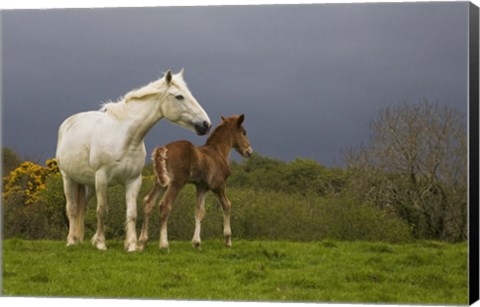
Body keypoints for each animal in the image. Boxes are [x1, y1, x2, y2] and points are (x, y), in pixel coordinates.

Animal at [56, 70, 210, 253]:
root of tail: (68, 123)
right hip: (68, 178)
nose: (206, 124)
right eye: (179, 96)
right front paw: (101, 243)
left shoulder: (133, 180)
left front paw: (131, 245)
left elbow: (132, 213)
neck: (124, 138)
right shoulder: (101, 178)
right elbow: (102, 210)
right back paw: (72, 240)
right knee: (72, 208)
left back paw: (80, 239)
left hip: (88, 184)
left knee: (82, 207)